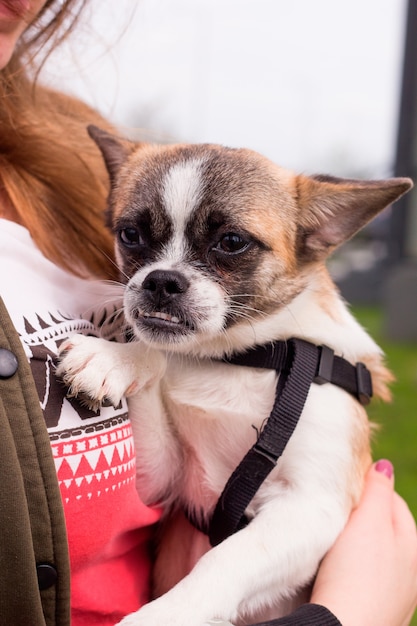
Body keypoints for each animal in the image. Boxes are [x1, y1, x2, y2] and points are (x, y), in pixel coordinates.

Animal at [57, 127, 410, 624]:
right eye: (130, 235)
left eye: (232, 242)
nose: (161, 280)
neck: (240, 356)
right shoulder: (166, 478)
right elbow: (156, 354)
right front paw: (117, 359)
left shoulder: (311, 505)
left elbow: (225, 559)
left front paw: (165, 614)